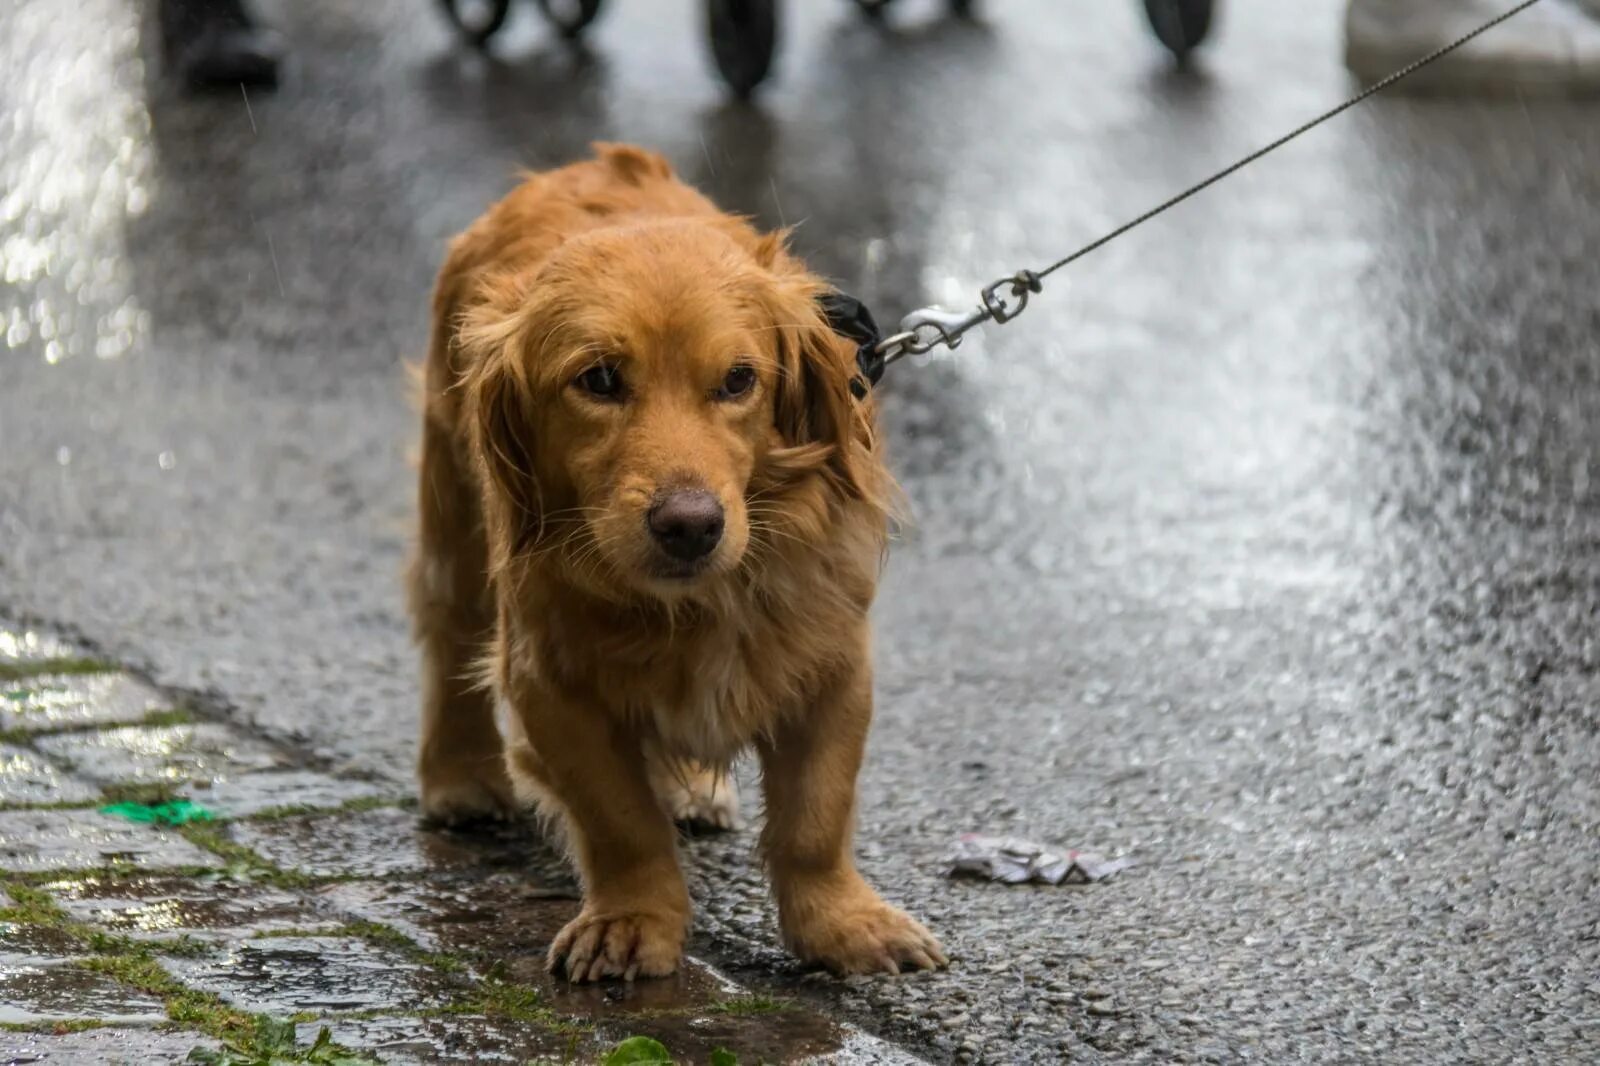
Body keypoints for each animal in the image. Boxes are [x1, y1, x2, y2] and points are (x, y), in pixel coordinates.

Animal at [406, 143, 940, 979]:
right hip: (453, 517)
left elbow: (815, 818)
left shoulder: (832, 667)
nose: (690, 526)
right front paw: (631, 921)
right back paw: (460, 774)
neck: (698, 603)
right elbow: (621, 820)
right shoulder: (550, 682)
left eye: (738, 379)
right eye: (598, 379)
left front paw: (842, 925)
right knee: (449, 636)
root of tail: (596, 163)